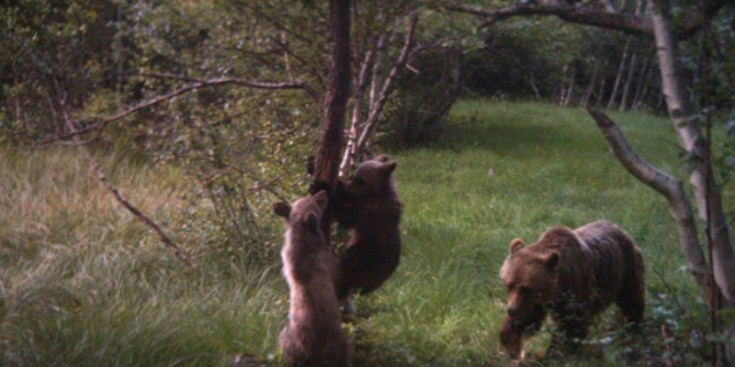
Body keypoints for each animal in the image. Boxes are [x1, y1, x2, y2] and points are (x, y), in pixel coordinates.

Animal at [274, 193, 352, 367]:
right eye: (316, 202)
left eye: (304, 197)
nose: (323, 192)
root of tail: (308, 350)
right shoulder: (334, 270)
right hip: (340, 343)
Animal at [332, 154, 402, 304]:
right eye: (354, 176)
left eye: (360, 179)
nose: (349, 182)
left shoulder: (371, 212)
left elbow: (347, 217)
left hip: (368, 253)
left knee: (350, 260)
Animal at [498, 221, 648, 360]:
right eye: (509, 284)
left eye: (527, 288)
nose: (512, 310)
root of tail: (621, 230)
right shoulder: (537, 302)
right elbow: (530, 319)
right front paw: (511, 341)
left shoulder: (576, 287)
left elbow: (572, 324)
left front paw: (558, 352)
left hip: (626, 270)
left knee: (631, 301)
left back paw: (633, 328)